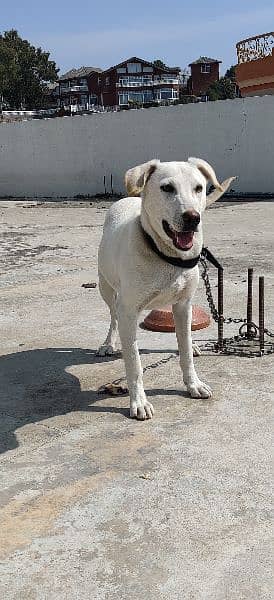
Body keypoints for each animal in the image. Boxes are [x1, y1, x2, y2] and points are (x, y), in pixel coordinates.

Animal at [97, 161, 234, 422]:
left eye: (199, 187)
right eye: (167, 188)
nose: (193, 218)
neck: (165, 256)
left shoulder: (183, 305)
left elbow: (185, 350)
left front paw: (193, 384)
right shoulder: (128, 310)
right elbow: (134, 363)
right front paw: (139, 402)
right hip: (106, 288)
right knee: (113, 316)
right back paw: (109, 344)